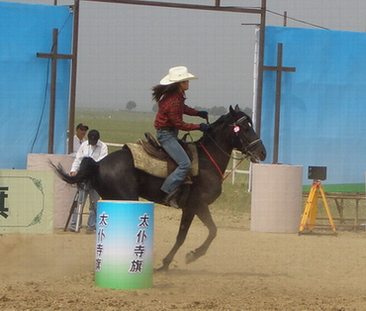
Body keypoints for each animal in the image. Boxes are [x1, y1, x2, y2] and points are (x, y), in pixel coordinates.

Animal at [53, 106, 266, 272]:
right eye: (244, 127)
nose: (262, 152)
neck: (207, 162)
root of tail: (98, 164)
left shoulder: (193, 208)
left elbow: (193, 234)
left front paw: (173, 261)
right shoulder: (196, 205)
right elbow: (202, 233)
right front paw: (188, 256)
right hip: (126, 198)